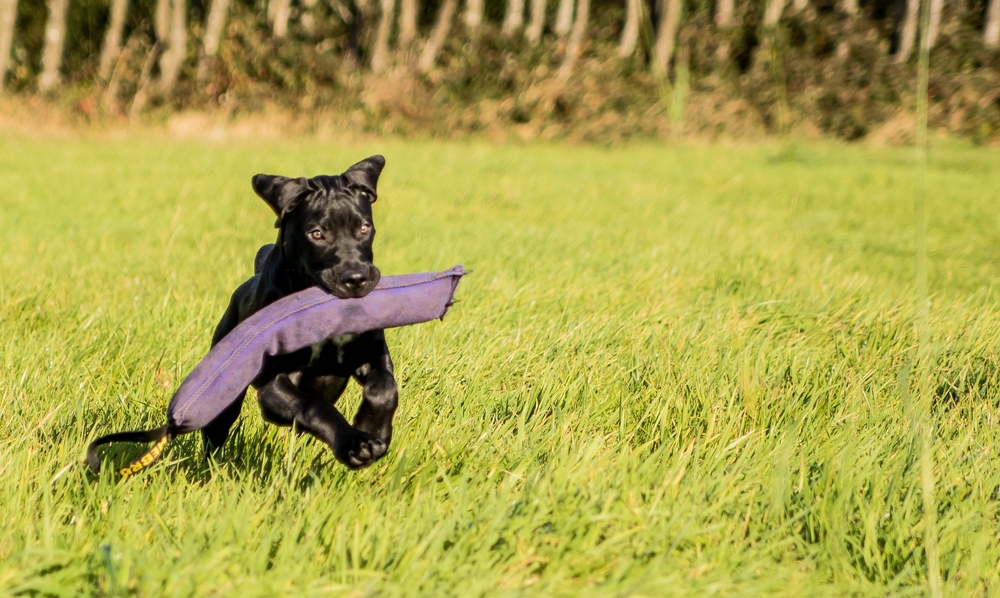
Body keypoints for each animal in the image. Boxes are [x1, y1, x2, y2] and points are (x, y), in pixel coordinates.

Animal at [204, 156, 398, 474]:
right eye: (317, 234)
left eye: (364, 228)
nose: (356, 279)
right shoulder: (273, 387)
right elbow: (313, 407)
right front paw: (355, 444)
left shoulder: (372, 354)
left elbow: (385, 387)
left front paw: (373, 431)